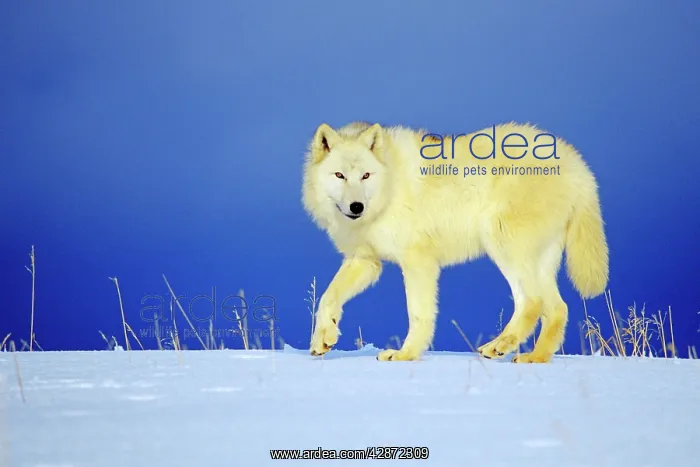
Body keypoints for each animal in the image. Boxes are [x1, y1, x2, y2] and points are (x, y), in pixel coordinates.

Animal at [302, 121, 608, 363]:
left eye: (366, 175)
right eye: (340, 175)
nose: (356, 207)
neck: (388, 190)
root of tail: (578, 165)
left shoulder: (418, 261)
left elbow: (418, 313)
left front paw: (405, 354)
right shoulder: (365, 261)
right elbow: (328, 297)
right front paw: (322, 340)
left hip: (502, 245)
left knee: (533, 302)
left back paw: (501, 346)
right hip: (535, 262)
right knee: (556, 309)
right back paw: (533, 357)